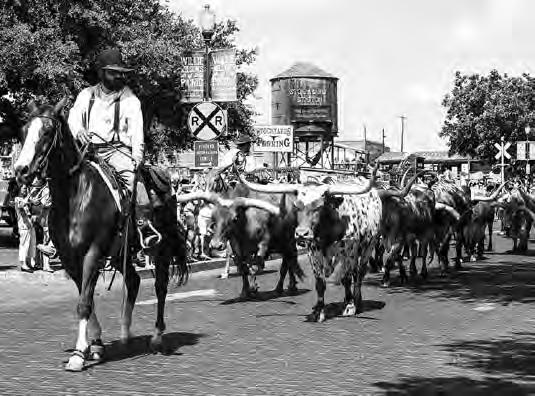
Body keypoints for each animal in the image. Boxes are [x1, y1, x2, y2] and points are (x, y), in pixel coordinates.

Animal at [14, 98, 188, 372]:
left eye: (47, 132)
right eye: (23, 131)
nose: (21, 170)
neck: (74, 197)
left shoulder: (93, 253)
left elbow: (84, 302)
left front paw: (78, 354)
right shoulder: (70, 259)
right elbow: (87, 299)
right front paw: (94, 345)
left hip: (160, 249)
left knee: (160, 287)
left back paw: (157, 337)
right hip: (119, 253)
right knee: (133, 281)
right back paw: (126, 334)